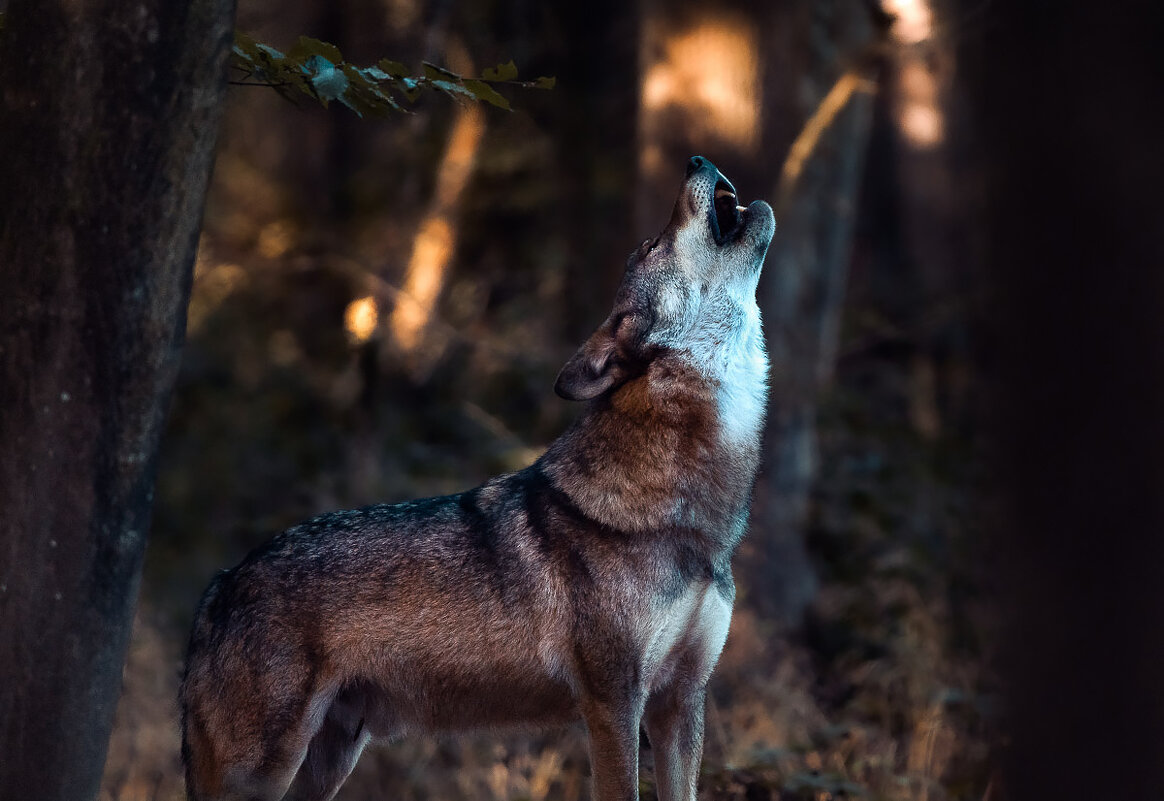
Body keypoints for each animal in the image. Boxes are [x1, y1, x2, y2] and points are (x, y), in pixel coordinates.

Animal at [179, 156, 772, 801]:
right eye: (652, 245)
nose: (697, 161)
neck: (689, 519)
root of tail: (217, 587)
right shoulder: (613, 704)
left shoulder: (682, 704)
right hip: (264, 770)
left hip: (330, 760)